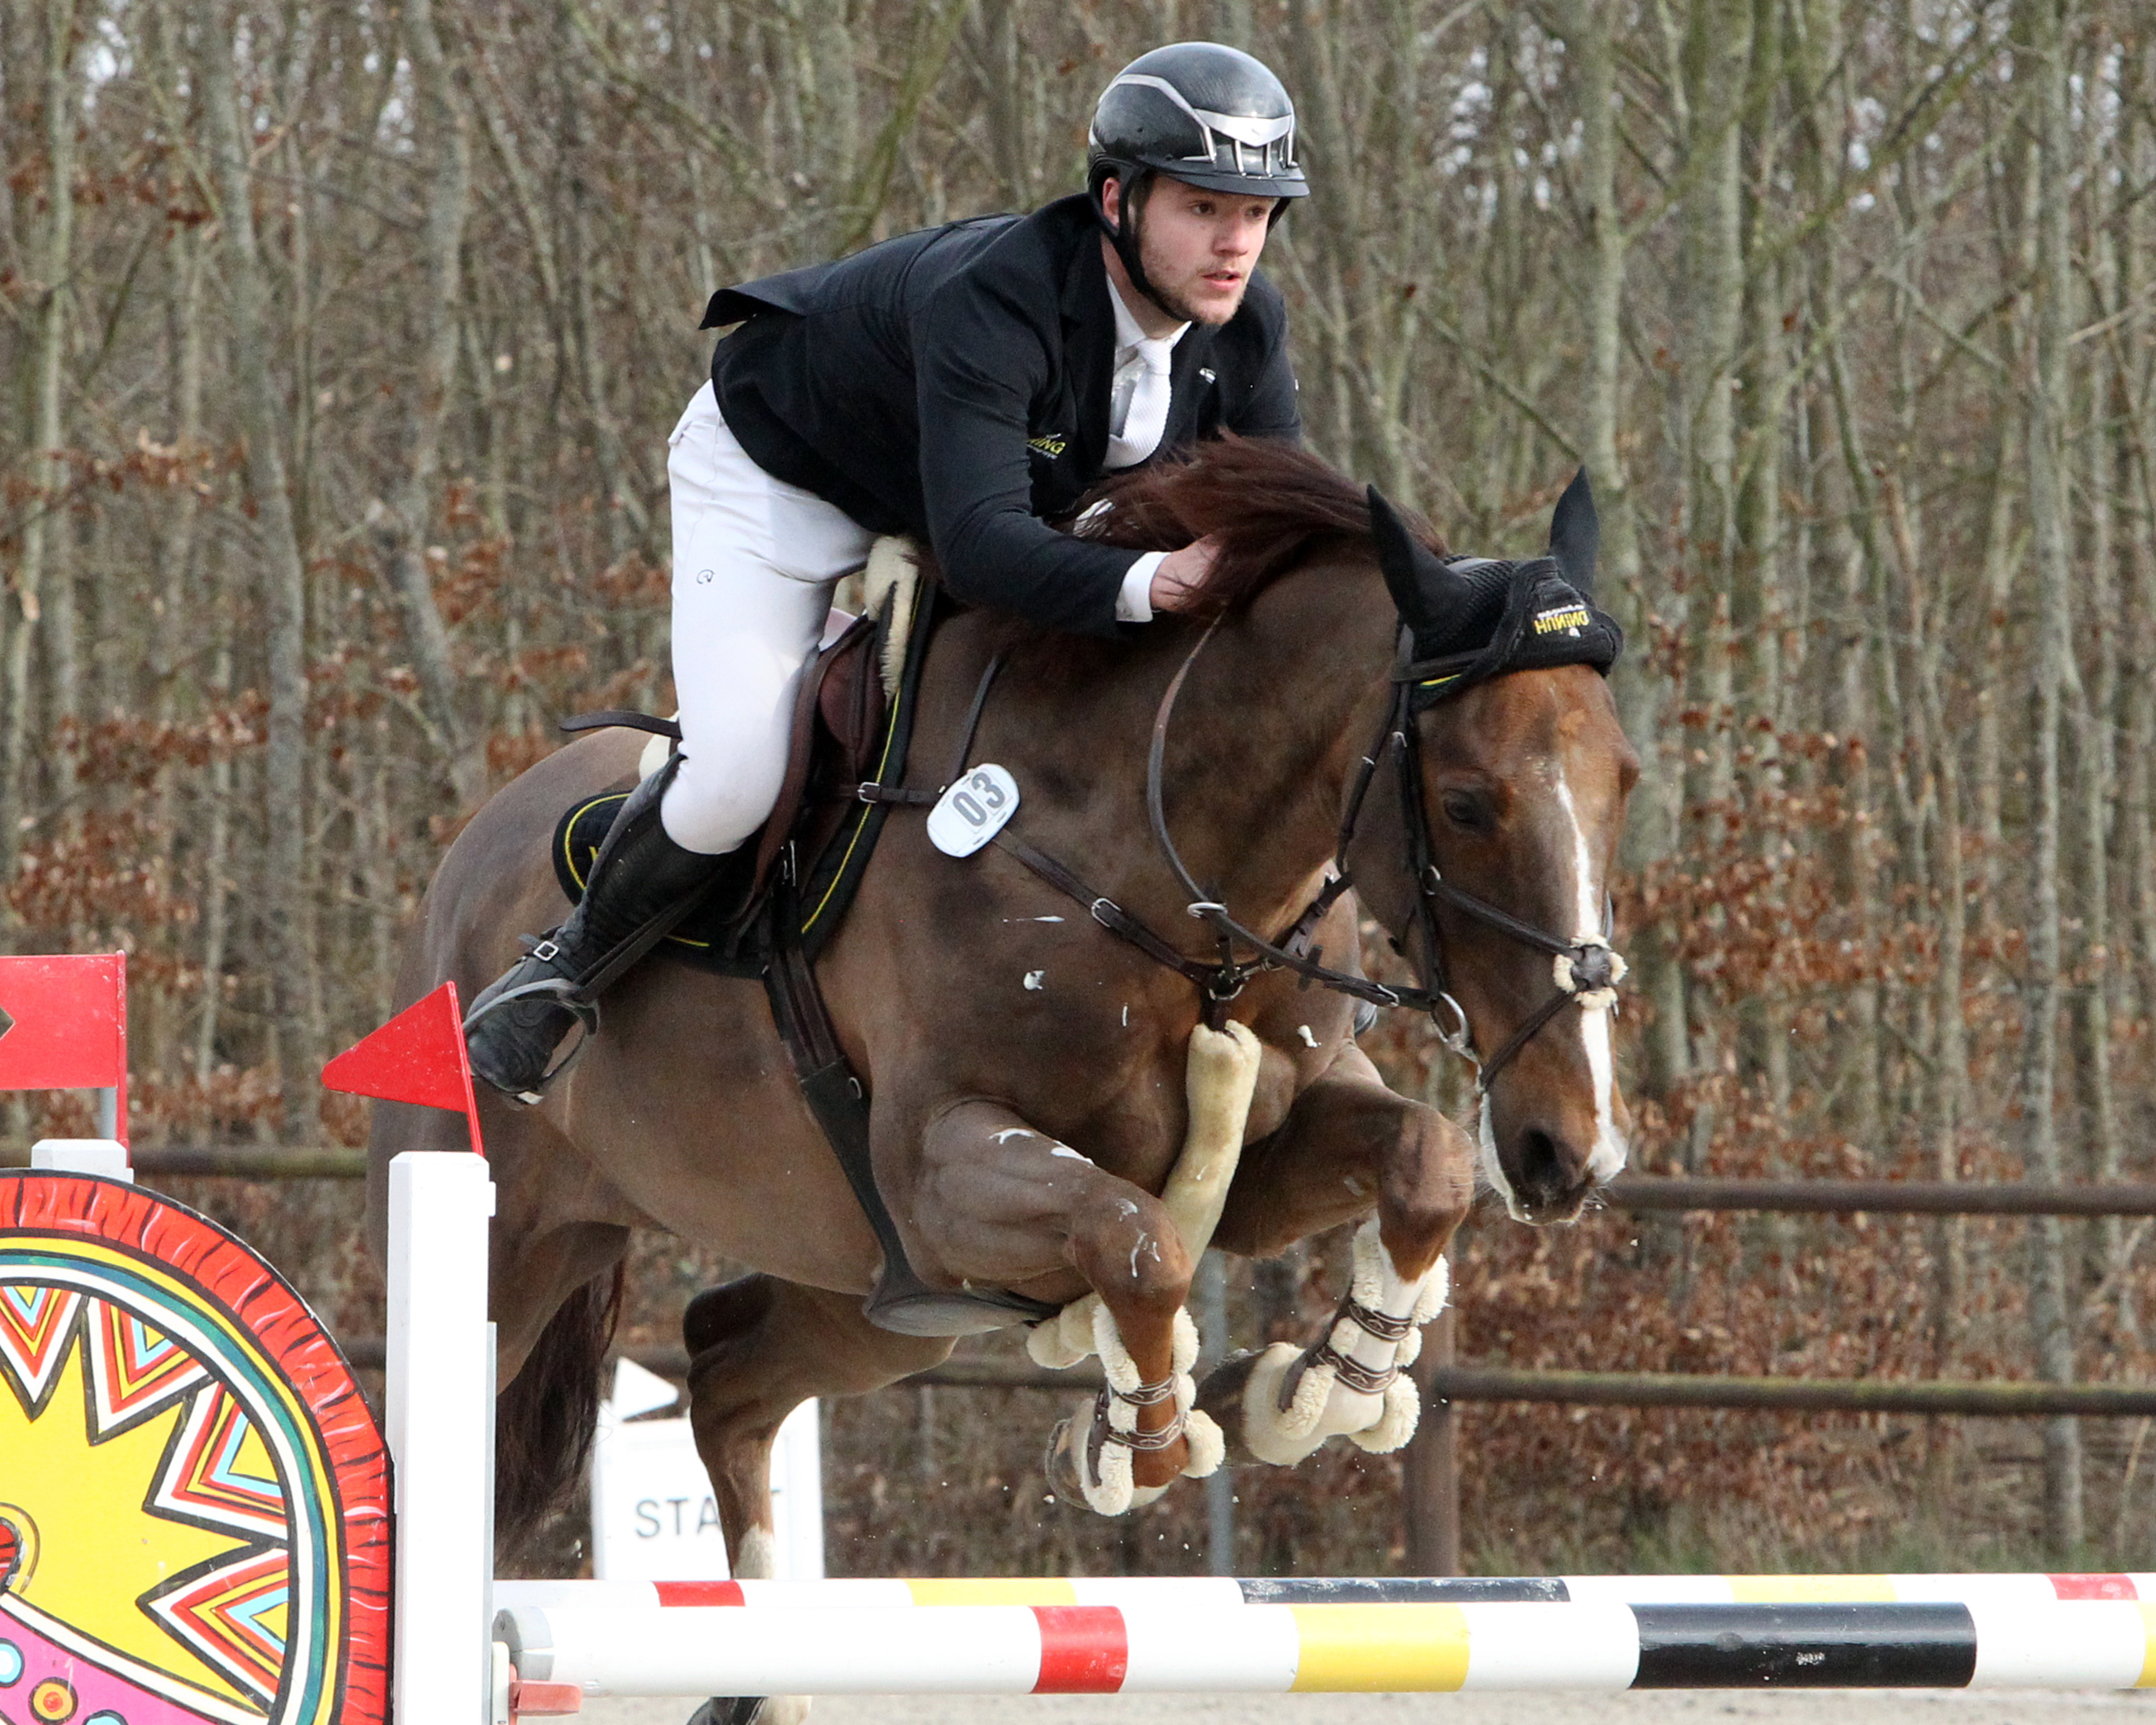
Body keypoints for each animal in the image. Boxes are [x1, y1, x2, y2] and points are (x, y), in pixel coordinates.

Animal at [366, 437, 1636, 1638]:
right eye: (1465, 803)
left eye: (1623, 782)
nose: (1570, 1153)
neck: (1158, 864)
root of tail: (468, 859)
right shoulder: (940, 1172)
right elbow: (1136, 1244)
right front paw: (1134, 1439)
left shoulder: (1258, 1160)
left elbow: (1424, 1163)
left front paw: (1324, 1387)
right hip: (516, 1242)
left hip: (877, 1295)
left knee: (725, 1371)